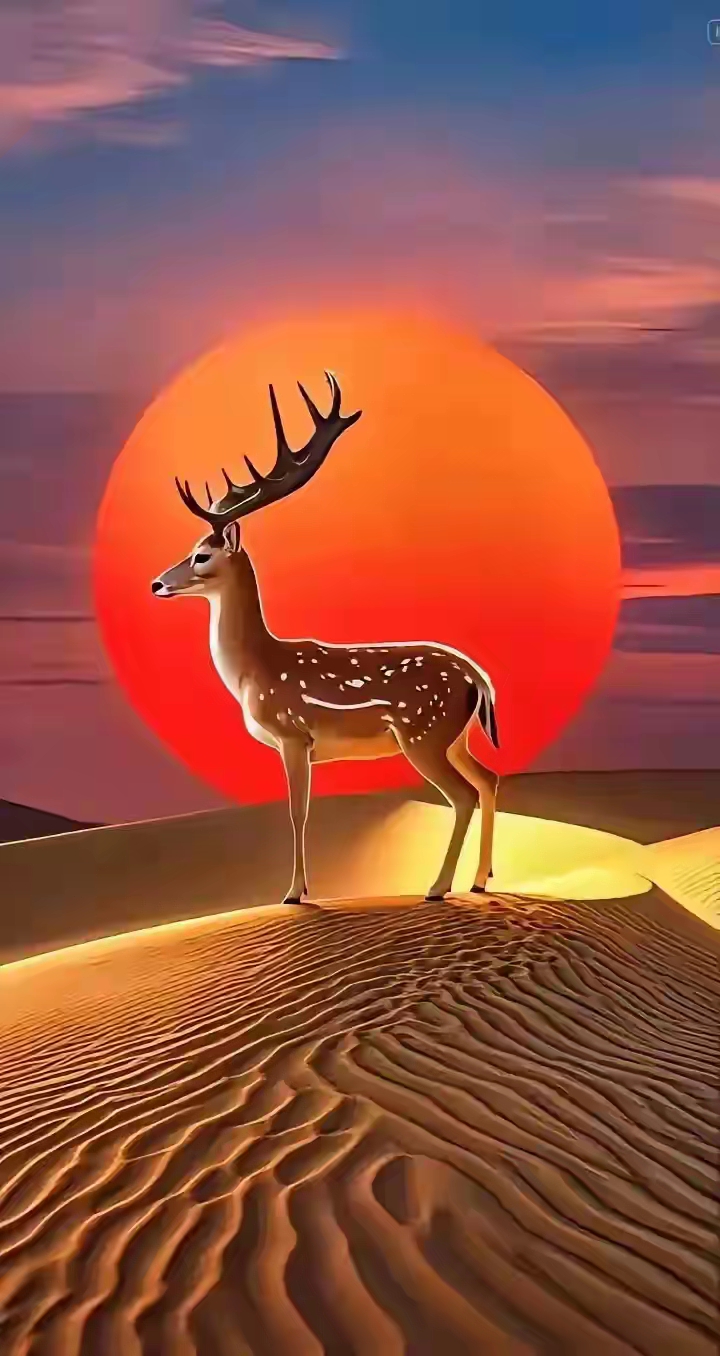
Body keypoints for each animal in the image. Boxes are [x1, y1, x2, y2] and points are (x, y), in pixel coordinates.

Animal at [152, 372, 501, 905]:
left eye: (201, 555)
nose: (156, 584)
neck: (256, 670)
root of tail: (478, 678)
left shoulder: (294, 733)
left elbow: (298, 811)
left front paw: (294, 893)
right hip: (454, 736)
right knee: (489, 779)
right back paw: (480, 881)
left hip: (423, 733)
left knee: (462, 794)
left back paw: (438, 887)